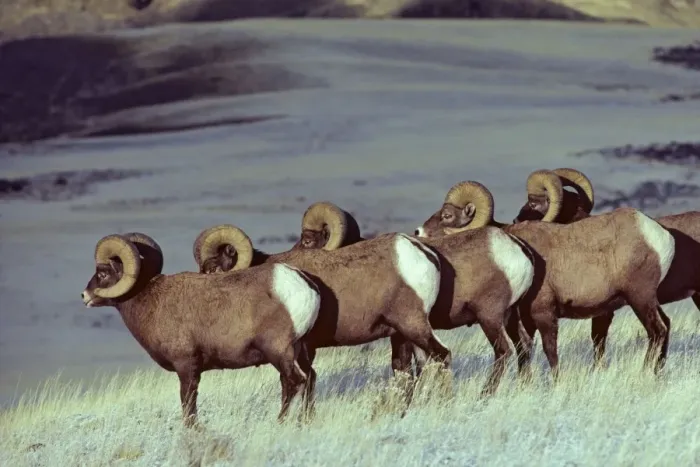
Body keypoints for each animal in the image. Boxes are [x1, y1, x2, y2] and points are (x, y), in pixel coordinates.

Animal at [80, 231, 322, 427]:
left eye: (102, 274)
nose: (84, 296)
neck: (150, 301)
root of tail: (302, 283)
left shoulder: (186, 368)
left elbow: (189, 406)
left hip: (278, 352)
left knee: (294, 383)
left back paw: (280, 422)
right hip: (299, 351)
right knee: (309, 379)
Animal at [291, 201, 536, 396]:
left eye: (307, 240)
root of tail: (517, 248)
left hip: (489, 318)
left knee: (503, 351)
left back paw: (484, 396)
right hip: (510, 317)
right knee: (524, 347)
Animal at [416, 180, 676, 378]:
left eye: (447, 215)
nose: (418, 232)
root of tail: (659, 234)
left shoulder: (544, 314)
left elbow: (549, 351)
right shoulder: (523, 320)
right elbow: (525, 352)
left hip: (639, 298)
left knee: (657, 331)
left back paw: (645, 372)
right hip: (647, 301)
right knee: (665, 327)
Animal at [515, 168, 700, 367]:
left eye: (533, 202)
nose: (516, 220)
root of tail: (662, 236)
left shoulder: (603, 312)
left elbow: (597, 339)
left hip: (641, 298)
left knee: (658, 331)